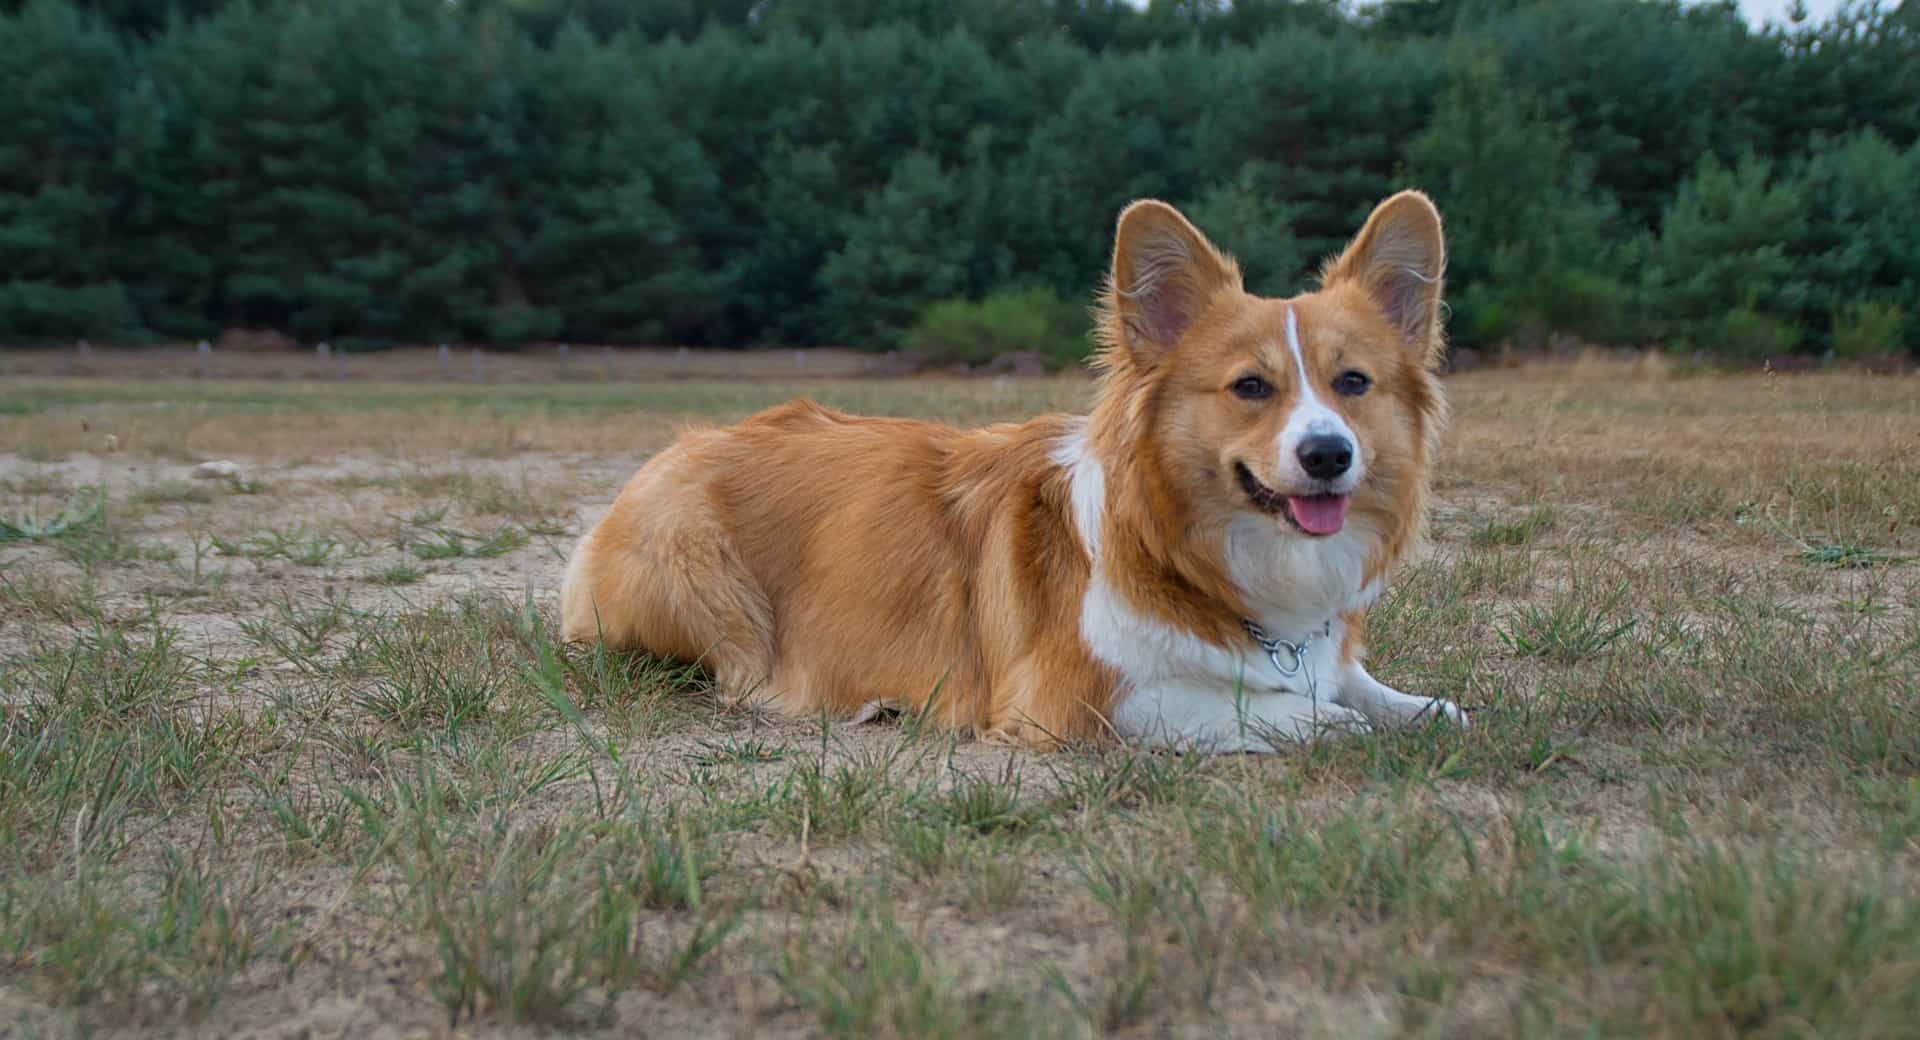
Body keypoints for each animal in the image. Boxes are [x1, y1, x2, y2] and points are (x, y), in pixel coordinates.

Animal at [560, 193, 1459, 752]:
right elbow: (1263, 705)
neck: (1198, 554)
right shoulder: (1081, 698)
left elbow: (1380, 691)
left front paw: (1420, 705)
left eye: (1353, 383)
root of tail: (677, 446)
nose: (1328, 455)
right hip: (703, 580)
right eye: (1250, 387)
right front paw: (1322, 720)